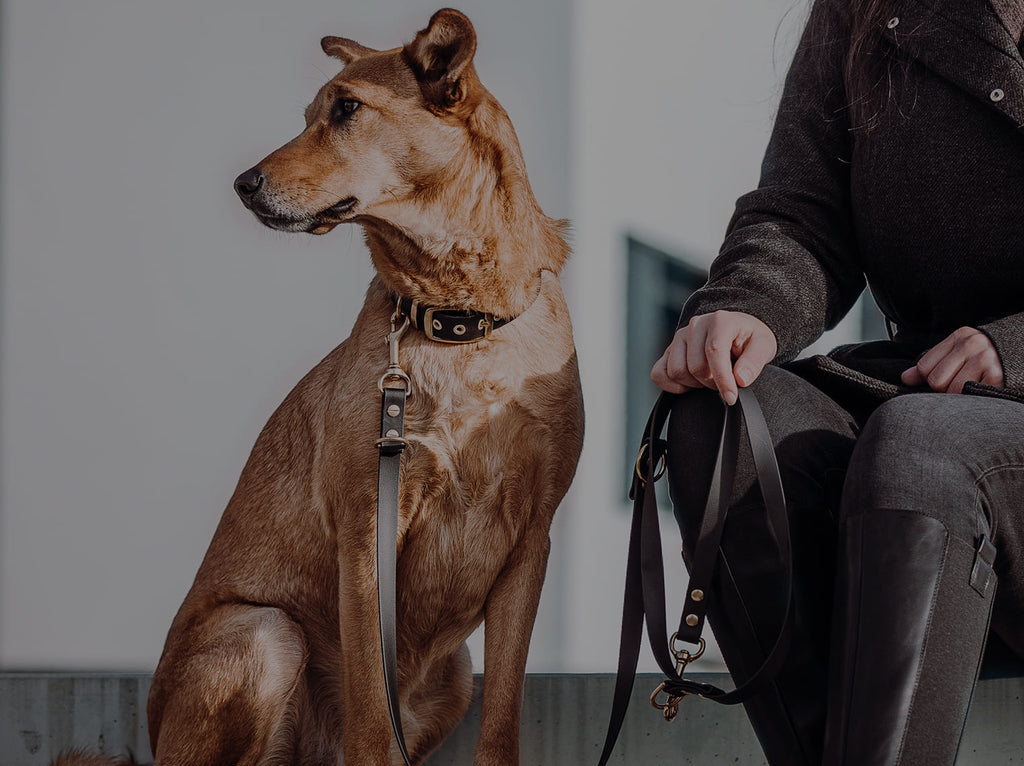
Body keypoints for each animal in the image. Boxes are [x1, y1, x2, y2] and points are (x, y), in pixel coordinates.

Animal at [141, 7, 585, 766]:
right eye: (308, 115)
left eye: (347, 109)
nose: (243, 183)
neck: (459, 323)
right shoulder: (366, 527)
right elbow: (373, 720)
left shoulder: (530, 543)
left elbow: (502, 719)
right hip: (266, 634)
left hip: (453, 675)